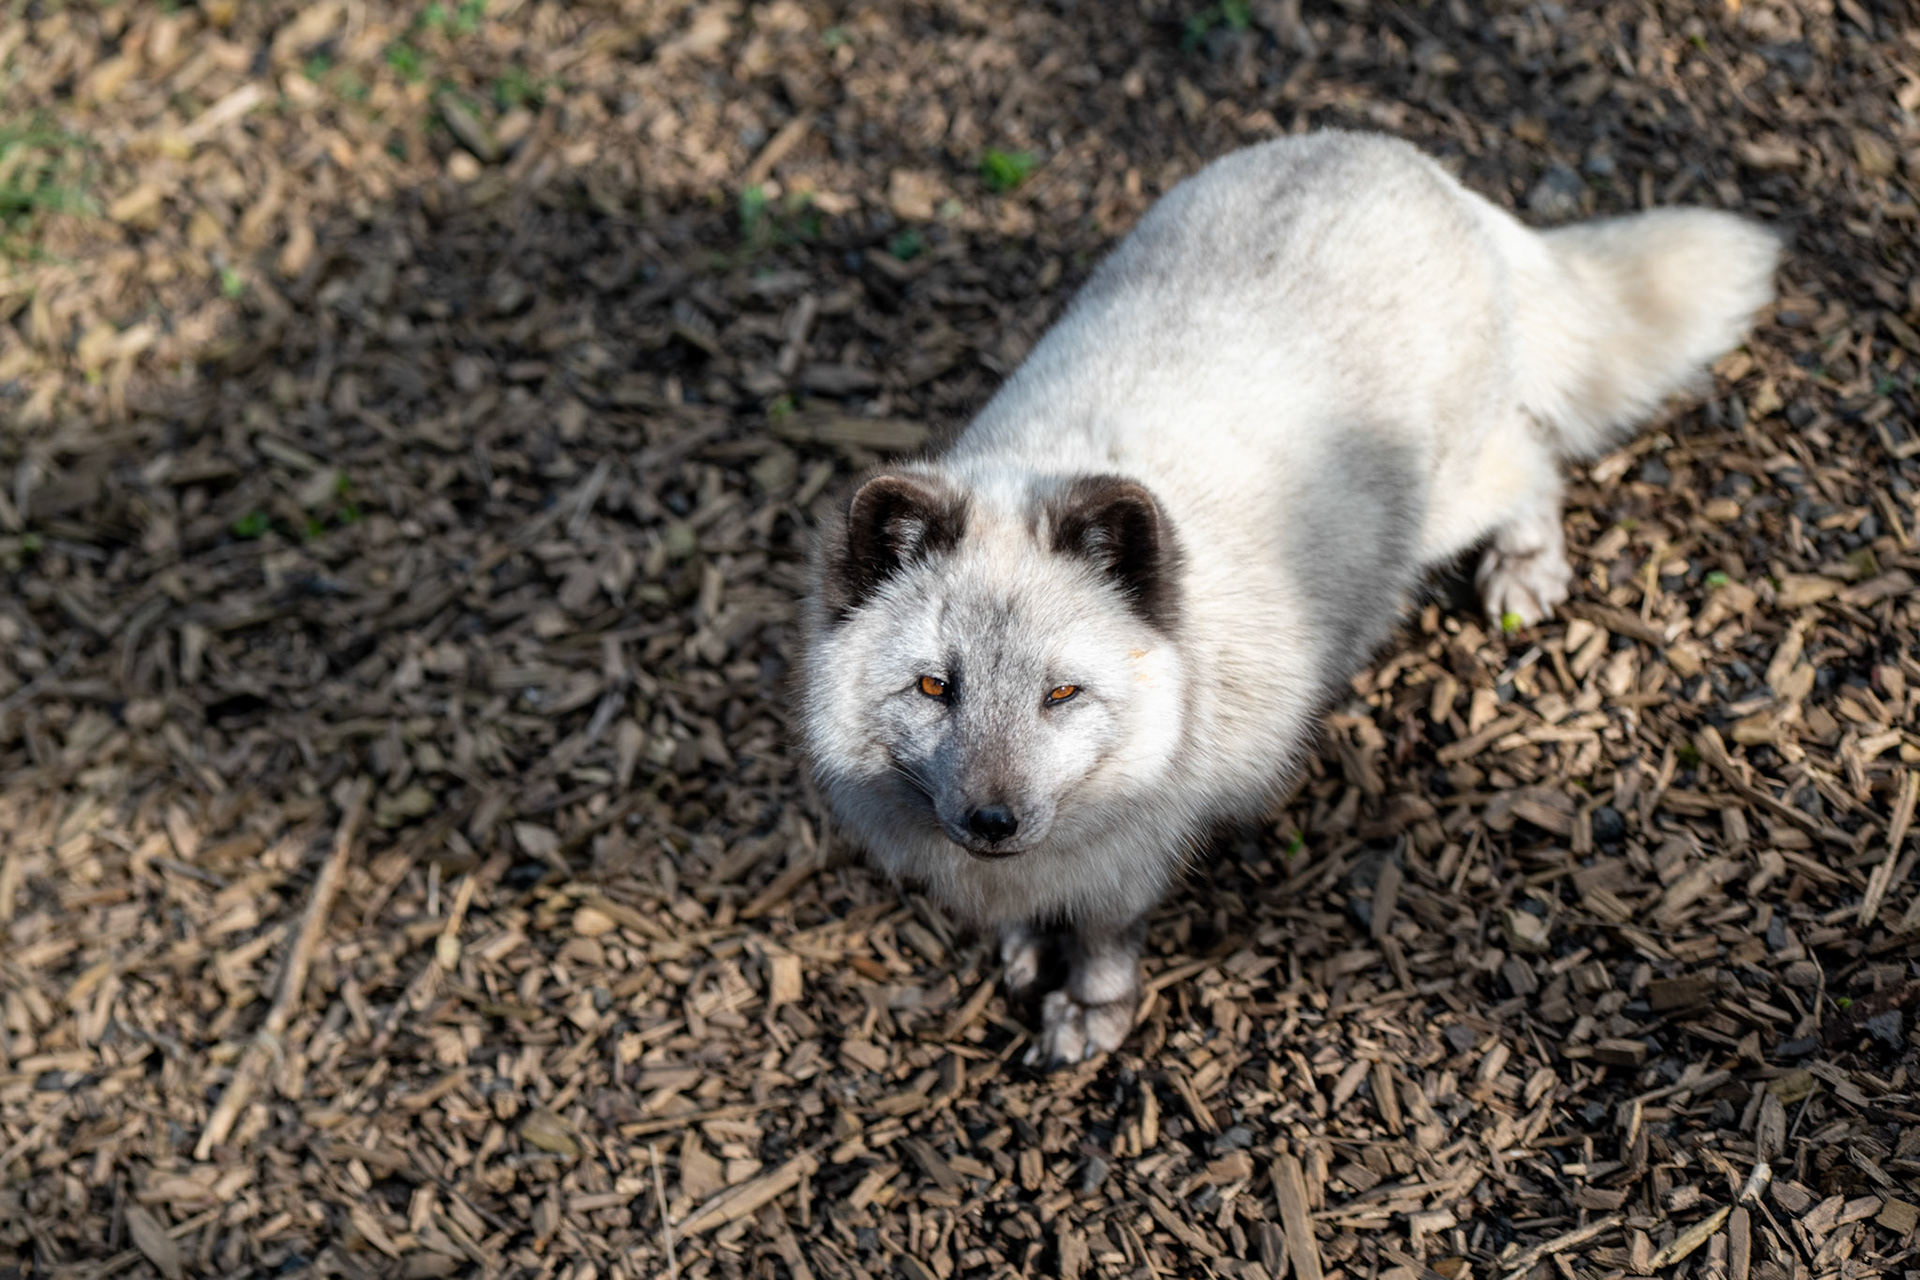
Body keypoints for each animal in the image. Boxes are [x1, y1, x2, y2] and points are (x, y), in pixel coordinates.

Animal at [798, 130, 1780, 1066]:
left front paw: (1092, 1008)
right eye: (936, 687)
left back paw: (1525, 565)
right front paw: (1027, 949)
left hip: (1449, 501)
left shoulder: (1141, 846)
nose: (991, 822)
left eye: (1062, 694)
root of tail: (1411, 162)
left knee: (1533, 458)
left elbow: (1108, 934)